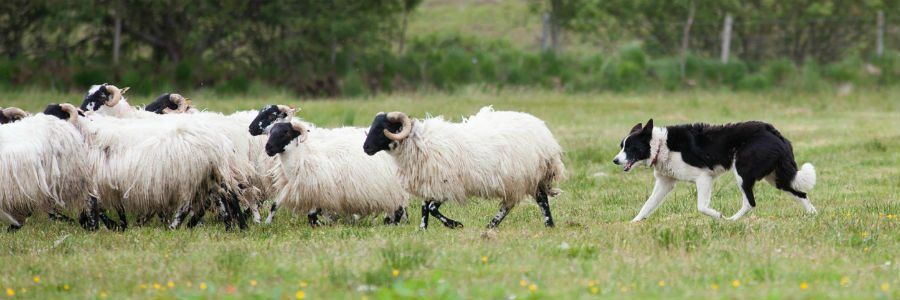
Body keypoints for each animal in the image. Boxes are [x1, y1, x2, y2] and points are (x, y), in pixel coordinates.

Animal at [42, 102, 246, 231]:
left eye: (56, 115)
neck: (84, 134)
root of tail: (217, 139)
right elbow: (113, 210)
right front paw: (119, 226)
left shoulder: (93, 181)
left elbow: (94, 208)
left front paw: (95, 227)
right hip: (207, 175)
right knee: (222, 197)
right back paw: (234, 226)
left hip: (191, 175)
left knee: (192, 204)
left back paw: (174, 227)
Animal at [364, 106, 564, 229]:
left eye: (384, 128)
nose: (365, 148)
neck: (420, 142)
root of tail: (544, 133)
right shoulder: (430, 181)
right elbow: (424, 208)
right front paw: (422, 229)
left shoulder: (448, 185)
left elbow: (432, 208)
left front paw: (454, 225)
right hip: (523, 178)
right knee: (525, 201)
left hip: (524, 176)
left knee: (534, 200)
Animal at [616, 119, 820, 220]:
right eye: (621, 146)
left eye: (631, 148)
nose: (615, 160)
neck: (660, 145)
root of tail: (773, 132)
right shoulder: (665, 183)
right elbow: (647, 205)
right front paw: (633, 223)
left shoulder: (703, 177)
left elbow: (702, 207)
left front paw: (718, 216)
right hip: (776, 178)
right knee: (801, 193)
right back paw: (813, 215)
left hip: (742, 172)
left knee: (750, 202)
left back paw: (731, 221)